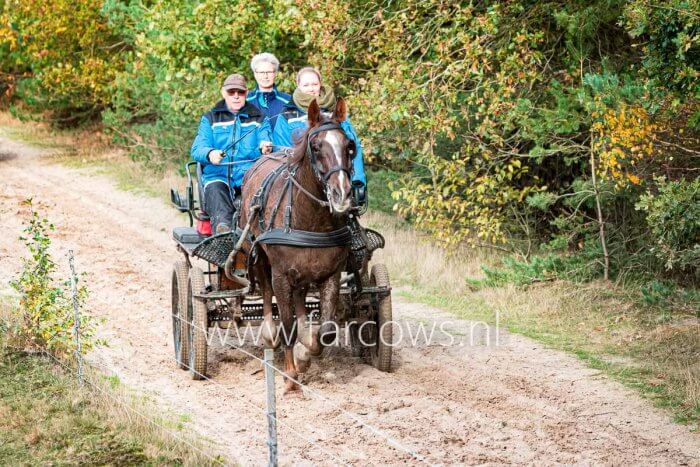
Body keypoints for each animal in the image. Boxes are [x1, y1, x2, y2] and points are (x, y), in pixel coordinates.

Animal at [239, 97, 356, 394]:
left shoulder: (330, 274)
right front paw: (290, 375)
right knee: (267, 293)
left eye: (349, 146)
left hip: (303, 273)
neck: (310, 221)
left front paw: (305, 353)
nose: (342, 194)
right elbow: (287, 323)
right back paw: (270, 334)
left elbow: (327, 331)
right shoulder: (281, 274)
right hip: (259, 256)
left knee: (301, 298)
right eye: (316, 147)